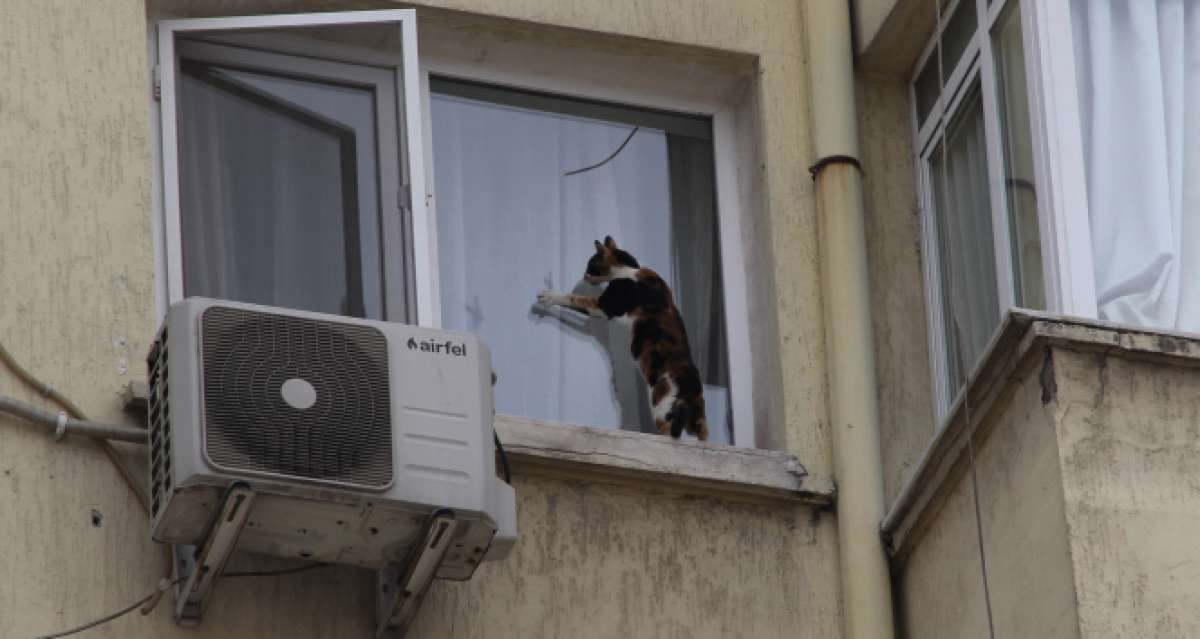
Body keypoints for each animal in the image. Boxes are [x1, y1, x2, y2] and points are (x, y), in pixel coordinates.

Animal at [537, 236, 710, 442]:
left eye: (590, 265)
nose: (583, 275)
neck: (631, 268)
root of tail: (690, 384)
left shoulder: (604, 306)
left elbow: (574, 299)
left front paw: (549, 295)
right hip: (697, 417)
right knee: (703, 433)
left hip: (661, 403)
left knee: (669, 432)